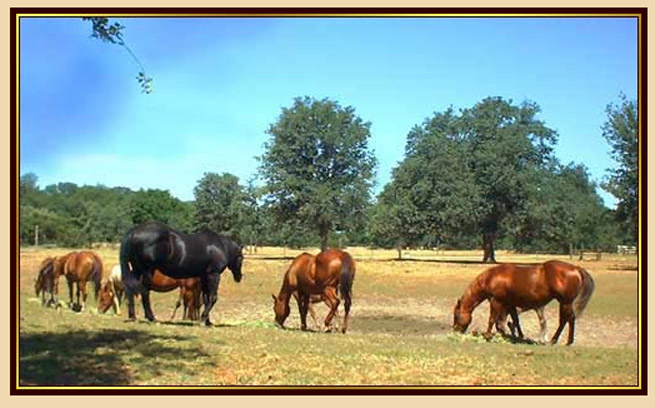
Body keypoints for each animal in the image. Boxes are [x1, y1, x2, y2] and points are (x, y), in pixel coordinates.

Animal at [454, 262, 596, 344]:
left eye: (456, 316)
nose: (455, 330)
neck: (492, 277)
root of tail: (576, 268)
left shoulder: (496, 301)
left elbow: (492, 319)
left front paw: (488, 336)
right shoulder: (510, 304)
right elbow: (514, 321)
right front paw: (515, 336)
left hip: (565, 302)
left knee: (567, 319)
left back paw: (558, 340)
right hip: (564, 303)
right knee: (567, 319)